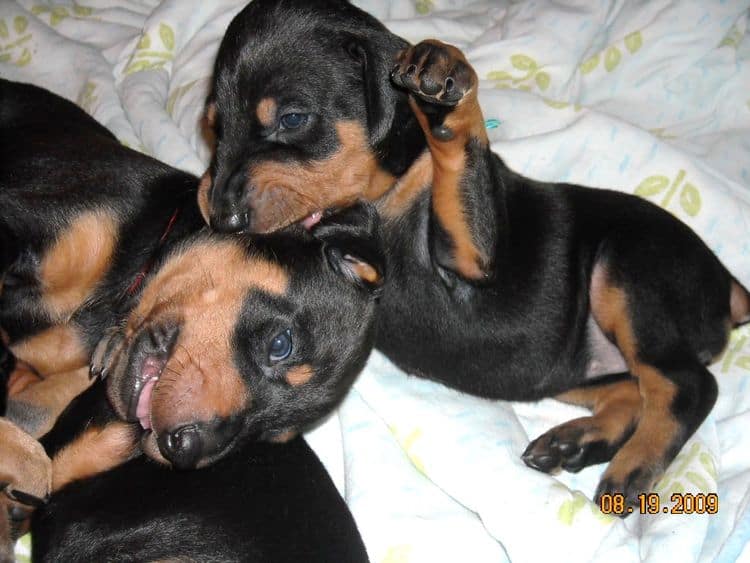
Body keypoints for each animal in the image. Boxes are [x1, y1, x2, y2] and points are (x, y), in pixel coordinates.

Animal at [200, 0, 750, 508]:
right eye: (214, 129)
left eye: (292, 119)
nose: (222, 217)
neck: (388, 186)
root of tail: (727, 282)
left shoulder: (478, 262)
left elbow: (457, 153)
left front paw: (443, 87)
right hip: (572, 366)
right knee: (633, 391)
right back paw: (577, 441)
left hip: (630, 272)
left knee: (688, 386)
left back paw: (633, 466)